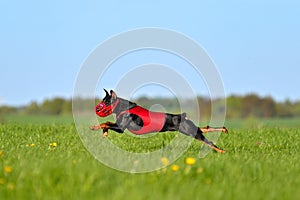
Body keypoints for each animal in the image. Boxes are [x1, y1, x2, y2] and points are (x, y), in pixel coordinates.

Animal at [89, 90, 227, 152]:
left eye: (106, 101)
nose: (97, 108)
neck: (124, 108)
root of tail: (183, 116)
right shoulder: (118, 126)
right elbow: (106, 123)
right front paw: (104, 133)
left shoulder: (120, 128)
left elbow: (105, 123)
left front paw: (94, 128)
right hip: (191, 129)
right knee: (205, 128)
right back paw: (224, 130)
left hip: (190, 131)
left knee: (209, 142)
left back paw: (221, 151)